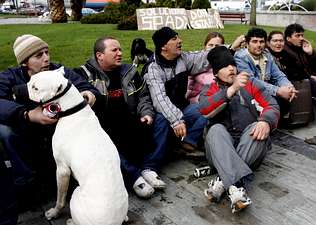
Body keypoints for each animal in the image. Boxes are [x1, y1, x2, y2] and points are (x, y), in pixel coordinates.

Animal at [26, 68, 128, 225]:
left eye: (35, 88)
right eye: (30, 80)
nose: (23, 86)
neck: (72, 109)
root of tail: (114, 222)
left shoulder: (62, 170)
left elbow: (60, 199)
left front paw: (54, 212)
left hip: (76, 193)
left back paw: (70, 221)